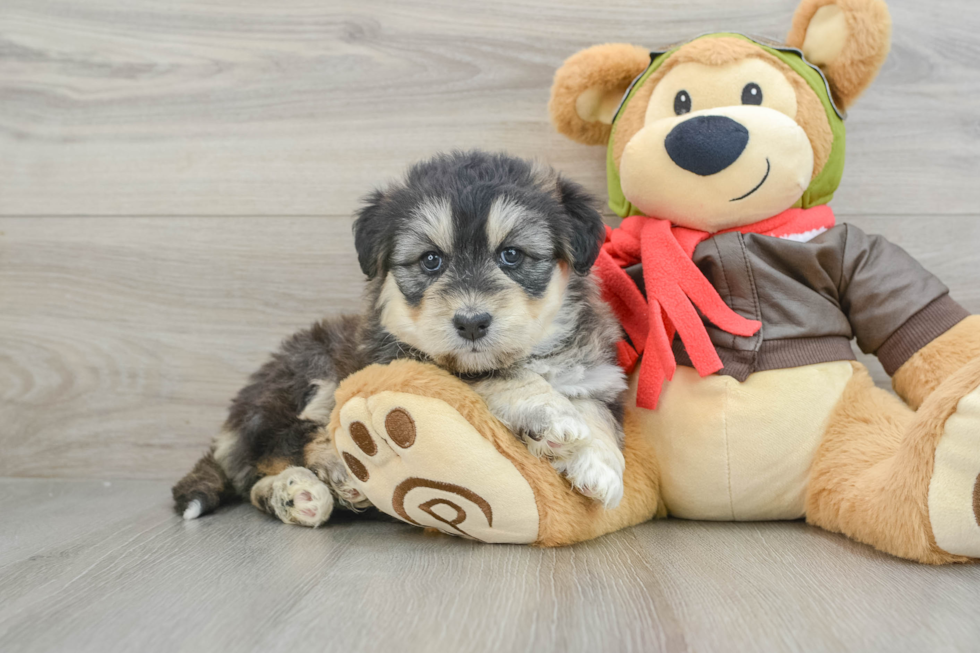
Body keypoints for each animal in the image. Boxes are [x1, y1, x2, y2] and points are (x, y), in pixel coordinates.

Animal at [172, 150, 624, 528]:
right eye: (431, 260)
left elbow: (595, 412)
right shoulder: (408, 361)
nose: (472, 323)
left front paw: (600, 465)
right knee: (275, 457)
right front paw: (552, 413)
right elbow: (506, 377)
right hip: (307, 377)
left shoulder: (591, 375)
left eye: (511, 255)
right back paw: (316, 483)